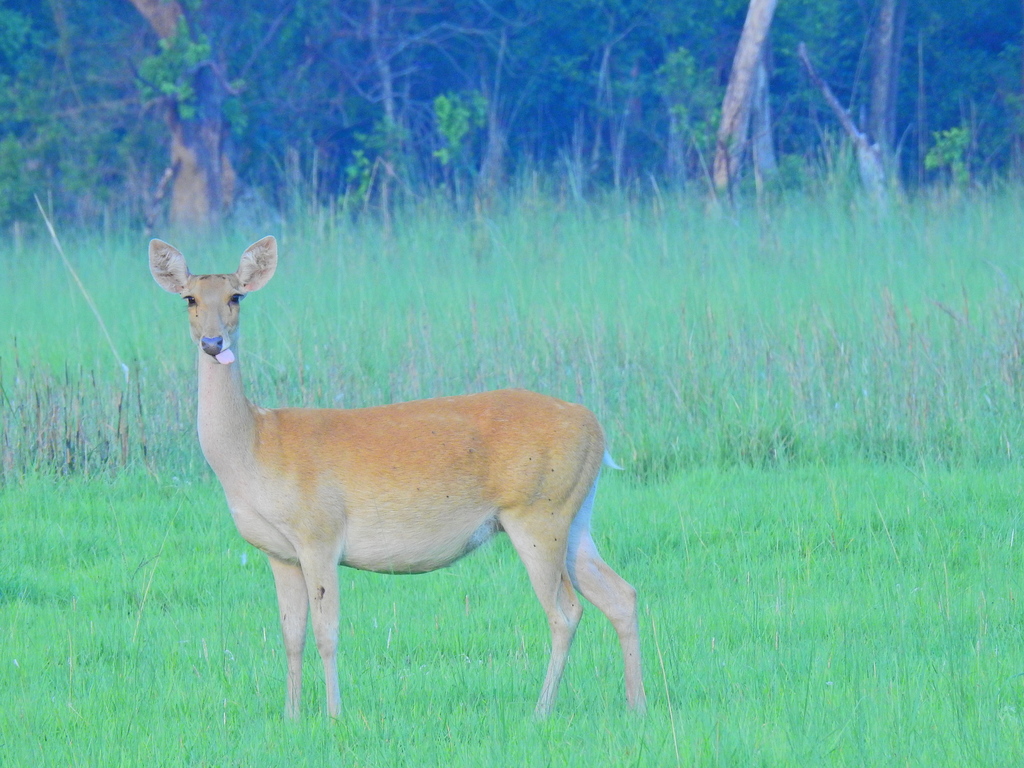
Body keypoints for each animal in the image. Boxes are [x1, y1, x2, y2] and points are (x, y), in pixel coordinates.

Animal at [149, 236, 647, 720]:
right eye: (189, 298)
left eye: (237, 295)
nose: (213, 342)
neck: (253, 448)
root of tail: (594, 425)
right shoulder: (279, 553)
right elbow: (291, 635)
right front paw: (291, 717)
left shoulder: (319, 534)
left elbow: (327, 631)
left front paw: (334, 716)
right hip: (575, 515)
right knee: (621, 593)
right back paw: (636, 704)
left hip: (537, 513)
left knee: (566, 612)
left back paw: (542, 711)